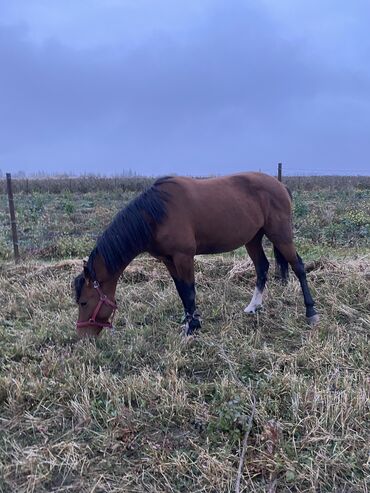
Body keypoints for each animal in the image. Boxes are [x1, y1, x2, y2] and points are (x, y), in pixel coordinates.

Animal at [73, 171, 320, 336]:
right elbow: (182, 291)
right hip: (253, 238)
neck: (156, 215)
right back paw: (253, 307)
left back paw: (311, 312)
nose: (83, 337)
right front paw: (189, 321)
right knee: (262, 267)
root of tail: (280, 185)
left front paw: (192, 328)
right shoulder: (168, 260)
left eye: (84, 302)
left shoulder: (184, 257)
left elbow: (190, 291)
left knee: (298, 266)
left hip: (280, 234)